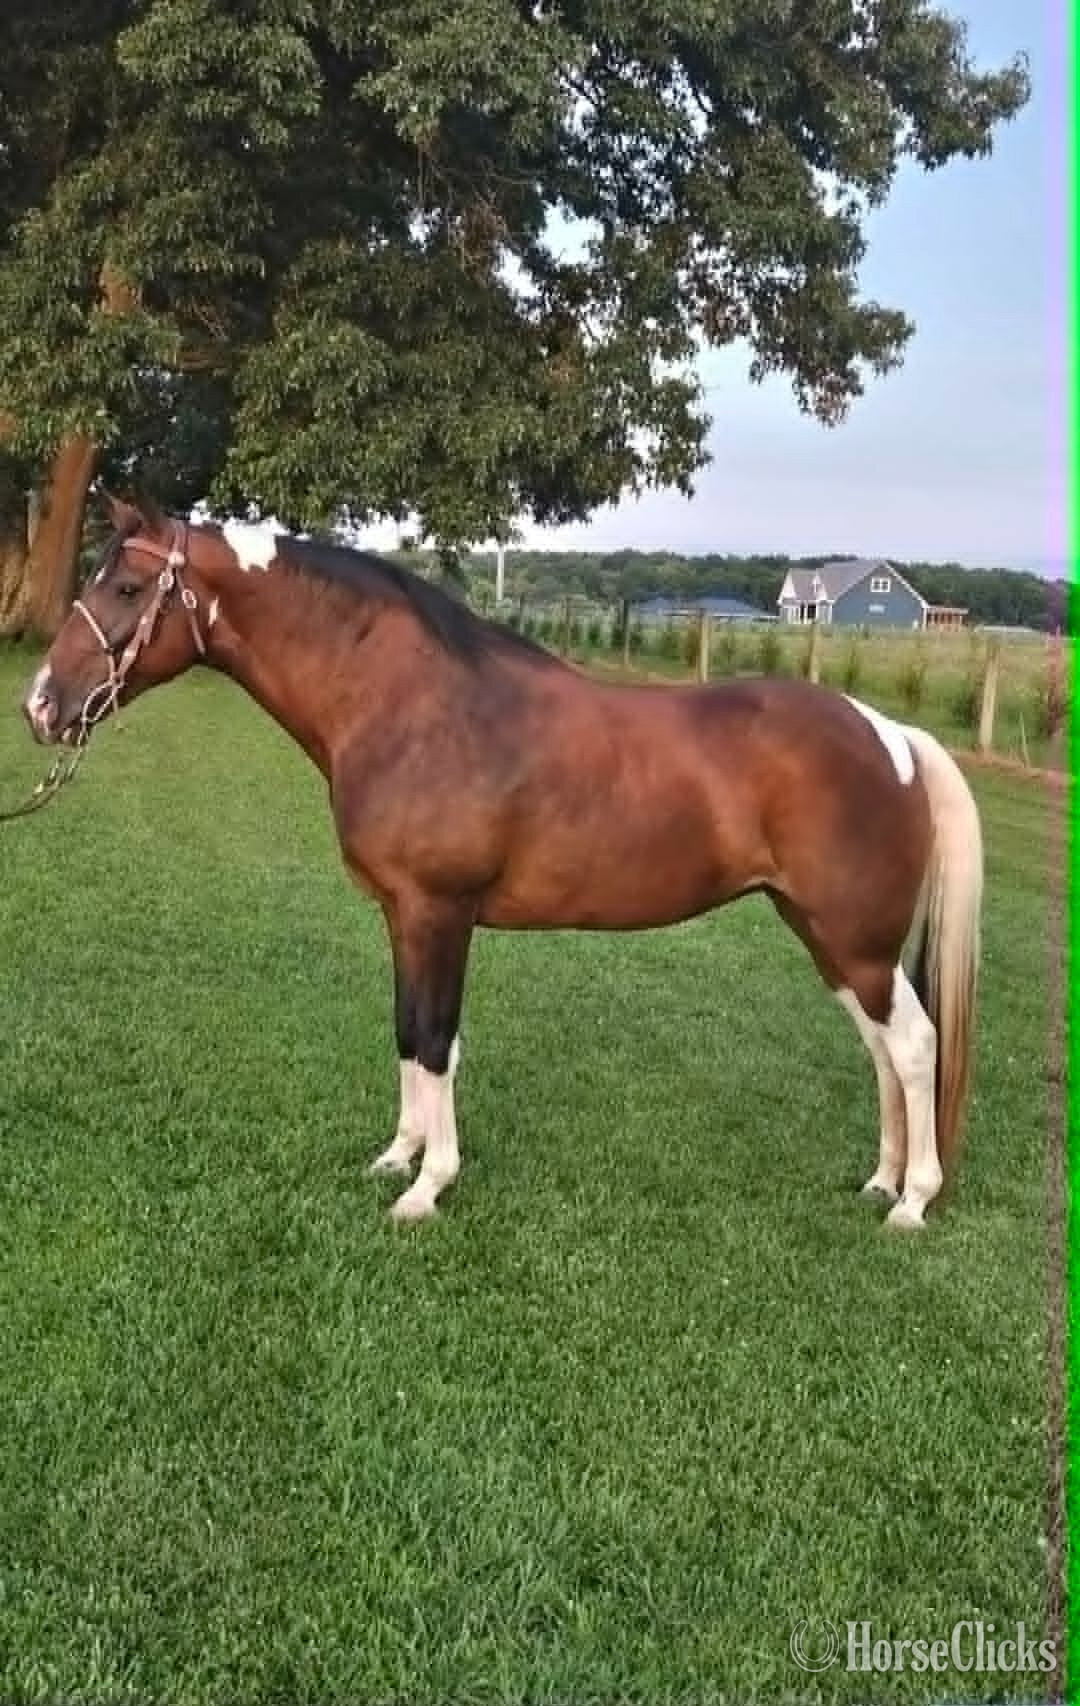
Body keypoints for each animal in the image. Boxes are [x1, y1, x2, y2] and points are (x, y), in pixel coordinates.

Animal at [22, 492, 983, 1231]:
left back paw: (913, 1202)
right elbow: (408, 1030)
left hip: (854, 941)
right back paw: (881, 1181)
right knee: (882, 1049)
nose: (41, 705)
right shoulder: (402, 916)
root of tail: (891, 734)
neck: (409, 704)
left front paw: (427, 1189)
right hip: (832, 941)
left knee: (913, 1044)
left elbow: (438, 1039)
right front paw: (397, 1156)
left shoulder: (440, 912)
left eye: (127, 586)